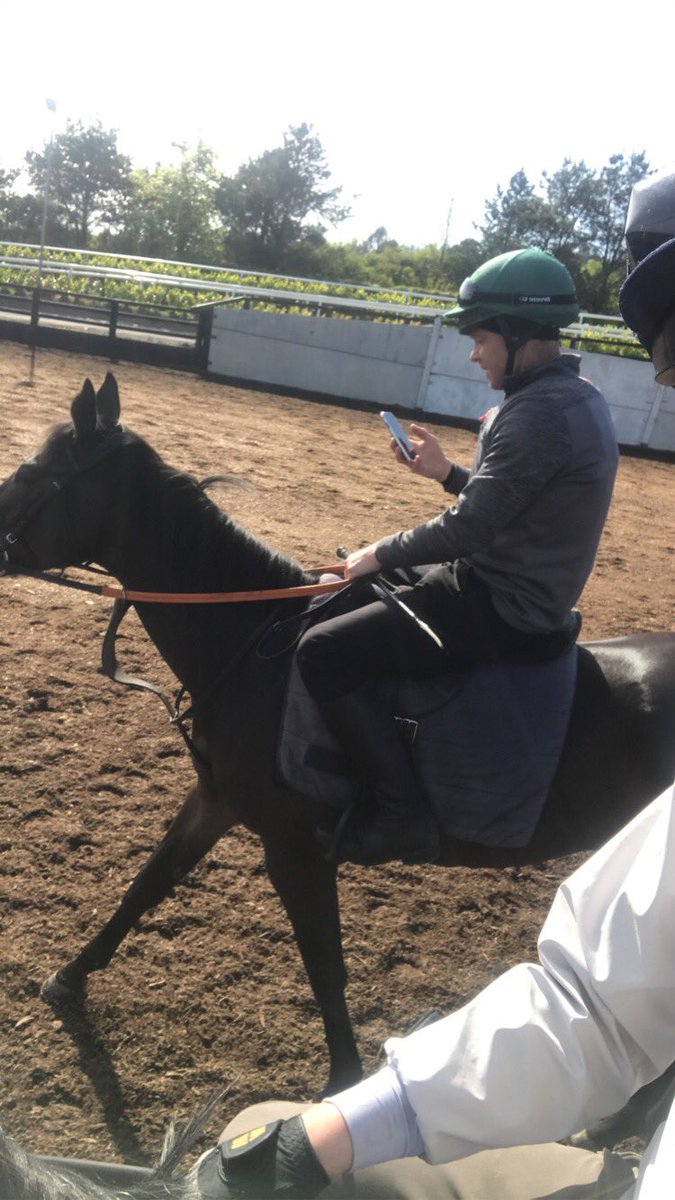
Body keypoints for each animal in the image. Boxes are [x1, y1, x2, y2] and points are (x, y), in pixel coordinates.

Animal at [3, 376, 672, 1099]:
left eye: (32, 473)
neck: (252, 645)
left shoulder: (295, 849)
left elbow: (325, 965)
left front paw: (343, 1085)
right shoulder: (215, 802)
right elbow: (147, 884)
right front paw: (70, 977)